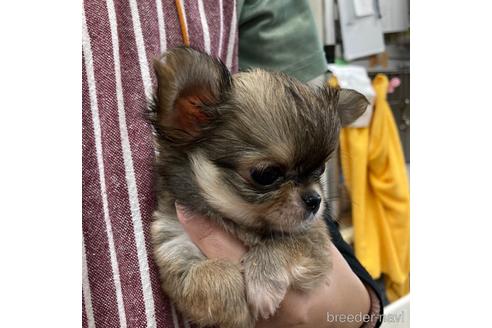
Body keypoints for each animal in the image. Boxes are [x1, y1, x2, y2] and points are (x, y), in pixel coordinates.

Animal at [148, 46, 368, 328]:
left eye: (319, 170)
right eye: (266, 175)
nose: (315, 200)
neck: (238, 224)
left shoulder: (315, 241)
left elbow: (283, 243)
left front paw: (262, 280)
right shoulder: (174, 247)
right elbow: (204, 274)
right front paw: (233, 297)